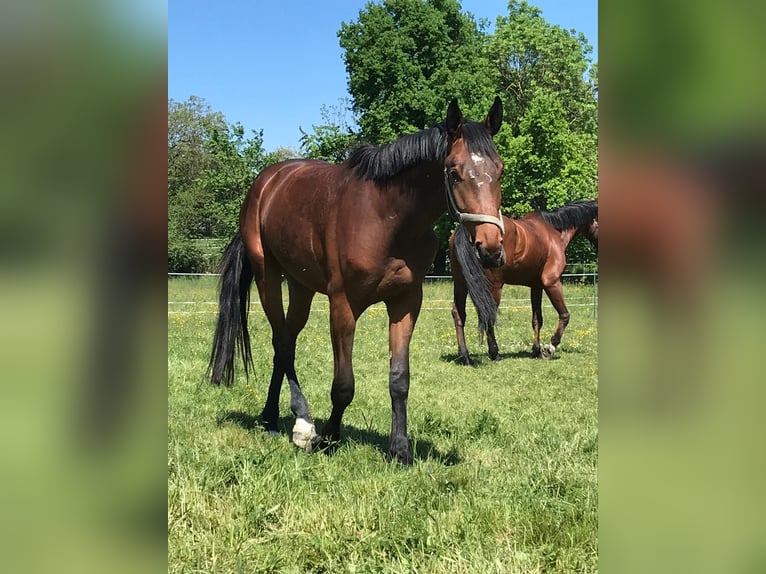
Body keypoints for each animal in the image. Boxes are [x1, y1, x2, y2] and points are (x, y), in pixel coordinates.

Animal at [210, 98, 510, 464]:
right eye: (454, 172)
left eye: (500, 171)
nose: (490, 248)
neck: (389, 220)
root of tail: (266, 183)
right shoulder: (343, 305)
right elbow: (343, 385)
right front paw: (327, 439)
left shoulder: (406, 302)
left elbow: (399, 379)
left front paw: (399, 449)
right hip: (268, 277)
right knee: (281, 342)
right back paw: (297, 423)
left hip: (301, 287)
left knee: (287, 342)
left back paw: (275, 417)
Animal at [450, 200, 600, 366]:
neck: (554, 231)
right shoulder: (552, 283)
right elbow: (565, 315)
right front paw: (549, 348)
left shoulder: (536, 286)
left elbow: (537, 320)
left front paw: (536, 350)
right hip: (493, 287)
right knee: (487, 314)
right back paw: (495, 354)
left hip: (461, 284)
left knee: (459, 314)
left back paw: (465, 356)